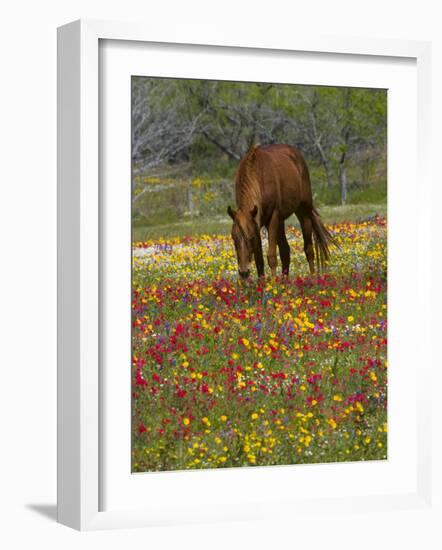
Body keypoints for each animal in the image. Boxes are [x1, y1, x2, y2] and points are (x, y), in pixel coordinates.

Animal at [228, 143, 334, 280]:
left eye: (250, 238)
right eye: (234, 238)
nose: (244, 272)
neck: (258, 175)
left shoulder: (272, 218)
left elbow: (271, 256)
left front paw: (273, 283)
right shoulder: (256, 222)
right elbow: (259, 260)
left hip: (303, 211)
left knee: (309, 249)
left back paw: (312, 277)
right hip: (281, 221)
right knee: (285, 251)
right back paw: (285, 280)